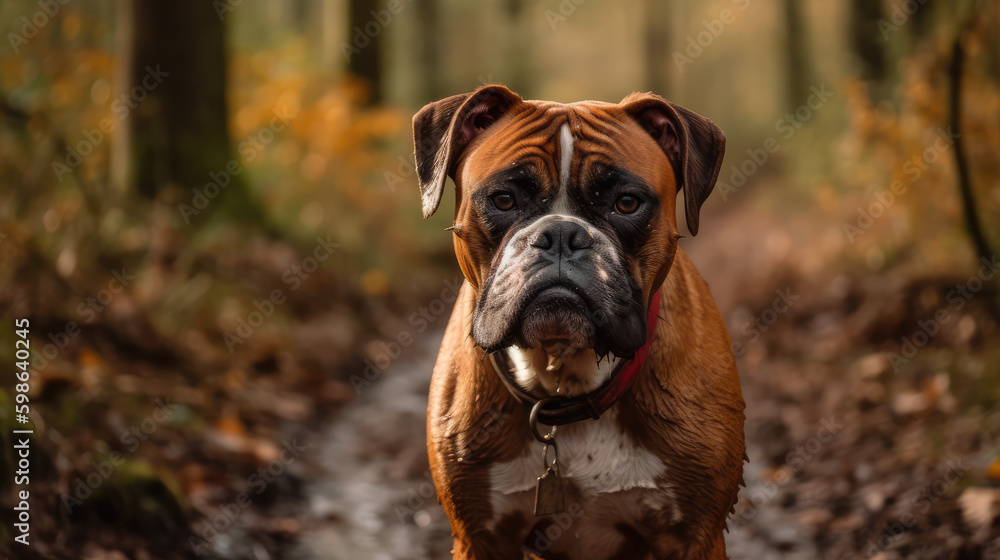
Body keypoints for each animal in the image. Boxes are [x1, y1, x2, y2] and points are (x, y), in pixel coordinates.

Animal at [410, 84, 748, 560]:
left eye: (626, 203)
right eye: (504, 200)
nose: (560, 234)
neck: (563, 380)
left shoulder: (696, 536)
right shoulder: (480, 538)